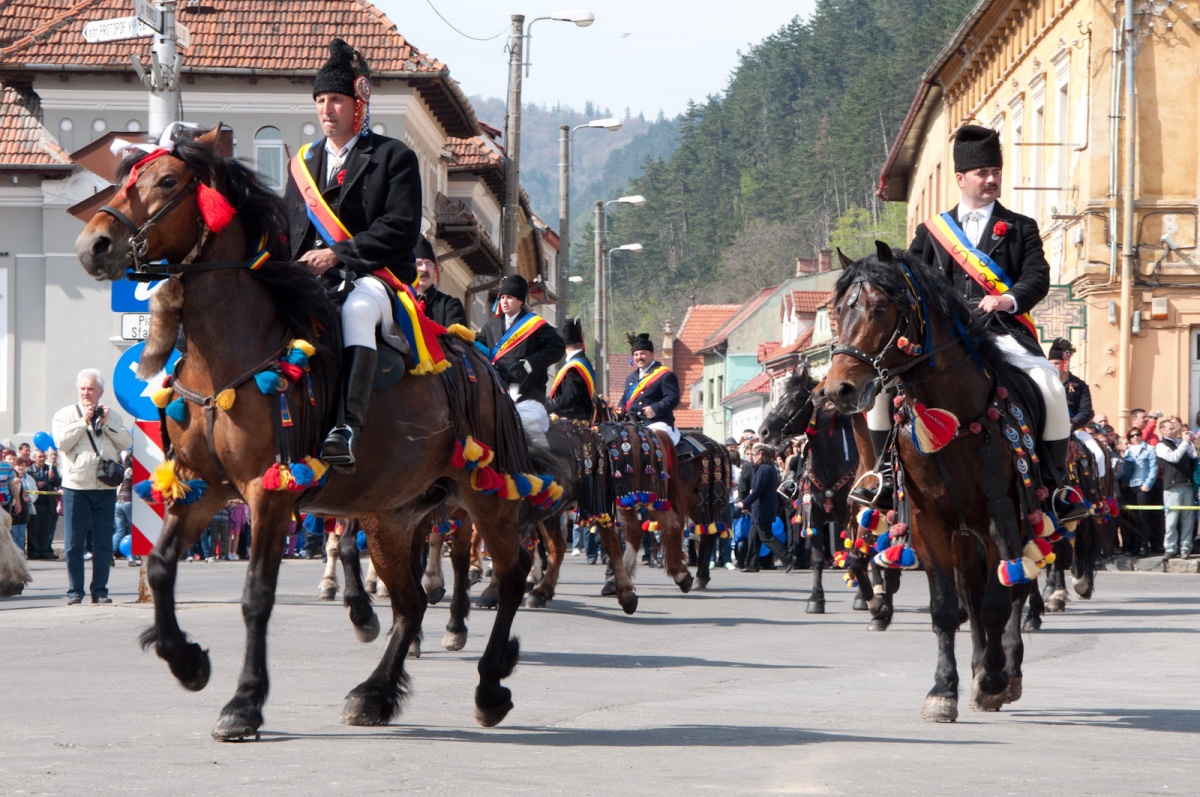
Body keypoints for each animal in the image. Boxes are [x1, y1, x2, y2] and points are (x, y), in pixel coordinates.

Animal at [76, 126, 535, 739]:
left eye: (167, 181)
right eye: (126, 177)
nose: (93, 245)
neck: (228, 355)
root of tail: (479, 362)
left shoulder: (267, 492)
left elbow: (256, 595)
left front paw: (244, 702)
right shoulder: (204, 487)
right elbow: (160, 565)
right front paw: (187, 661)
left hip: (486, 493)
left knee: (509, 574)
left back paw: (488, 684)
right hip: (390, 515)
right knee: (410, 603)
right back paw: (374, 693)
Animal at [825, 242, 1041, 720]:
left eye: (880, 308)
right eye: (838, 310)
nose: (837, 390)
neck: (951, 414)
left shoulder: (1001, 516)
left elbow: (998, 603)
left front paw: (993, 681)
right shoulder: (928, 522)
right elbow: (947, 608)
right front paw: (945, 690)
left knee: (1015, 589)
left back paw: (1009, 672)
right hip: (962, 537)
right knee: (971, 594)